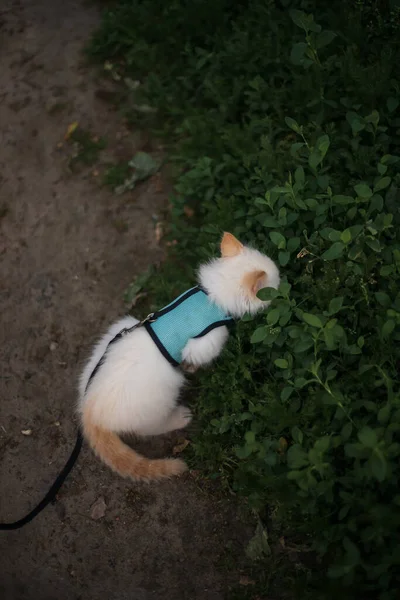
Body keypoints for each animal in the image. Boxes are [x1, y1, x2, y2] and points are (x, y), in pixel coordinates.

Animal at [77, 232, 278, 480]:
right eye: (275, 284)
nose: (284, 284)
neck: (213, 295)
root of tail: (90, 414)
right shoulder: (204, 343)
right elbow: (198, 356)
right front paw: (192, 367)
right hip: (162, 395)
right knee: (151, 428)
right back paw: (180, 417)